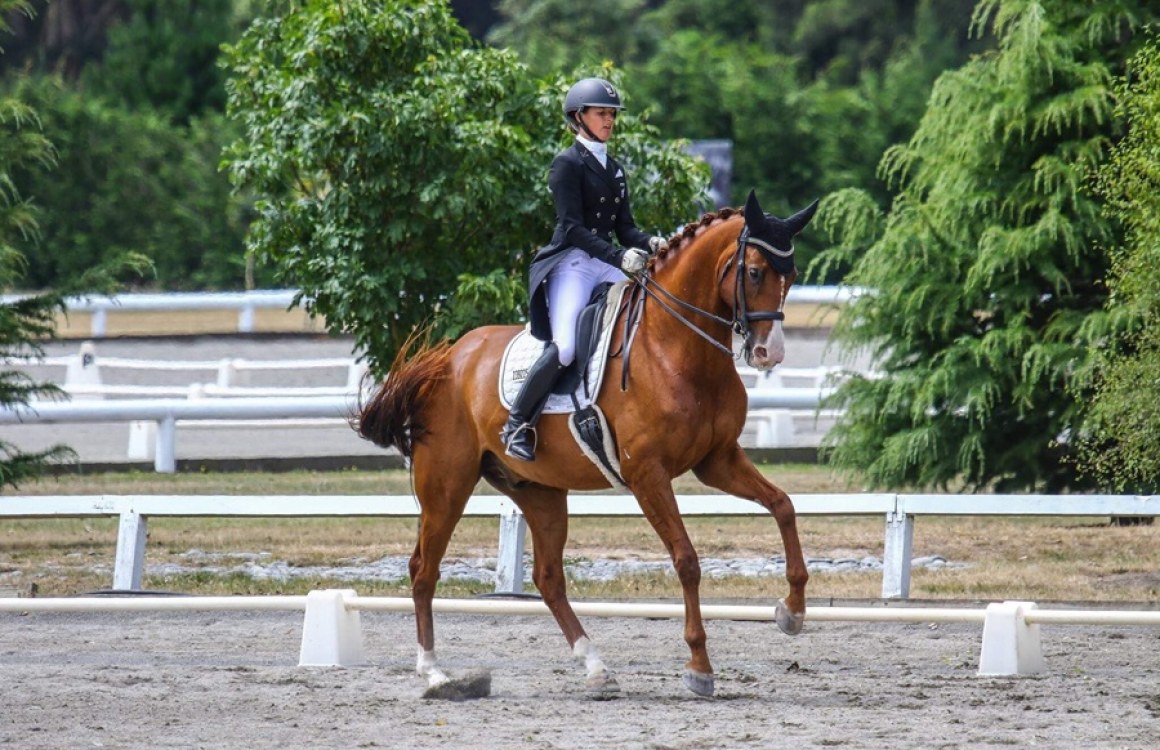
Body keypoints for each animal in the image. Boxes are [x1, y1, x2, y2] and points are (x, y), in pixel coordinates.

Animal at [357, 190, 817, 698]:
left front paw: (792, 612)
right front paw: (699, 666)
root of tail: (450, 358)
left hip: (537, 492)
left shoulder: (718, 460)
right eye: (754, 272)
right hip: (446, 486)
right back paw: (435, 672)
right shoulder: (648, 475)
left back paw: (595, 666)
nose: (769, 353)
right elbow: (687, 560)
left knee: (548, 579)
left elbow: (783, 505)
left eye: (792, 274)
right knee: (424, 569)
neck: (674, 347)